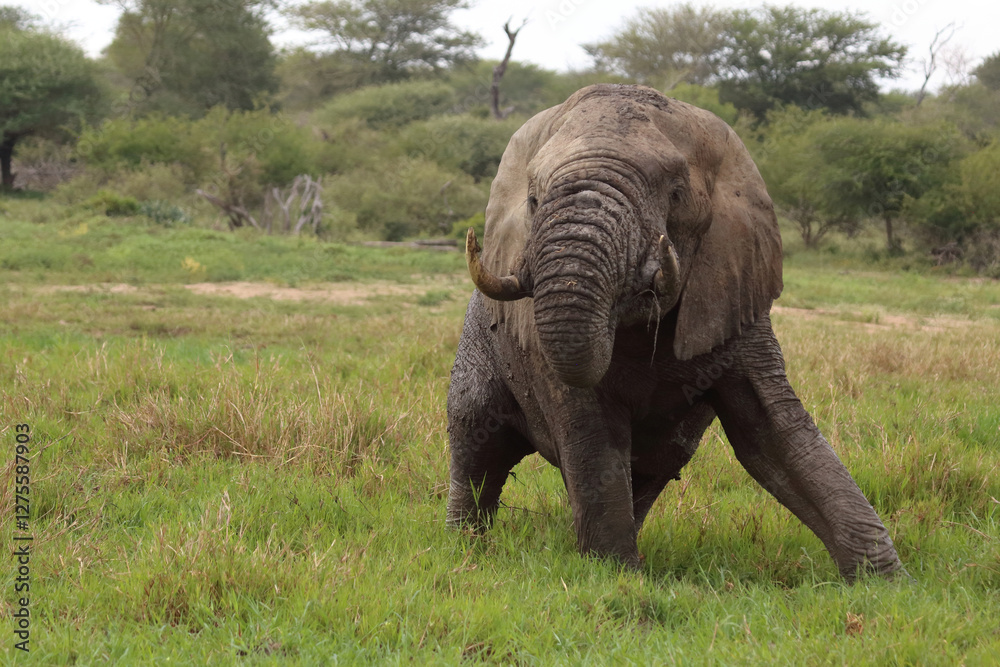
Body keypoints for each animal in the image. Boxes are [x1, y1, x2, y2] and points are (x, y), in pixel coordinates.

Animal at [445, 84, 904, 582]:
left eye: (677, 194)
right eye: (532, 200)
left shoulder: (734, 298)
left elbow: (772, 434)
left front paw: (887, 585)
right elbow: (590, 434)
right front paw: (615, 577)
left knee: (651, 470)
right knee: (476, 441)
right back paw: (465, 547)